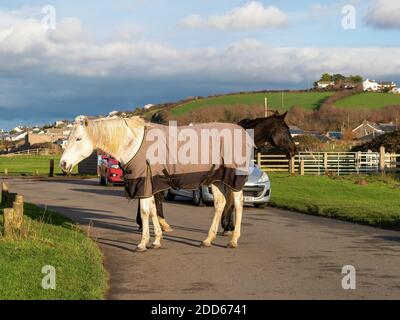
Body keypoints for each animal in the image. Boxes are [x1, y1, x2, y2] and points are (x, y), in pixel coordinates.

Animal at [60, 115, 248, 252]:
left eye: (78, 138)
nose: (63, 163)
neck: (133, 144)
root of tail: (243, 132)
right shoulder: (149, 184)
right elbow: (152, 211)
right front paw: (156, 240)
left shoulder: (143, 183)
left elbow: (145, 212)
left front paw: (142, 243)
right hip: (215, 179)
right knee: (220, 204)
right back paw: (208, 239)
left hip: (234, 178)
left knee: (238, 204)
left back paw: (233, 240)